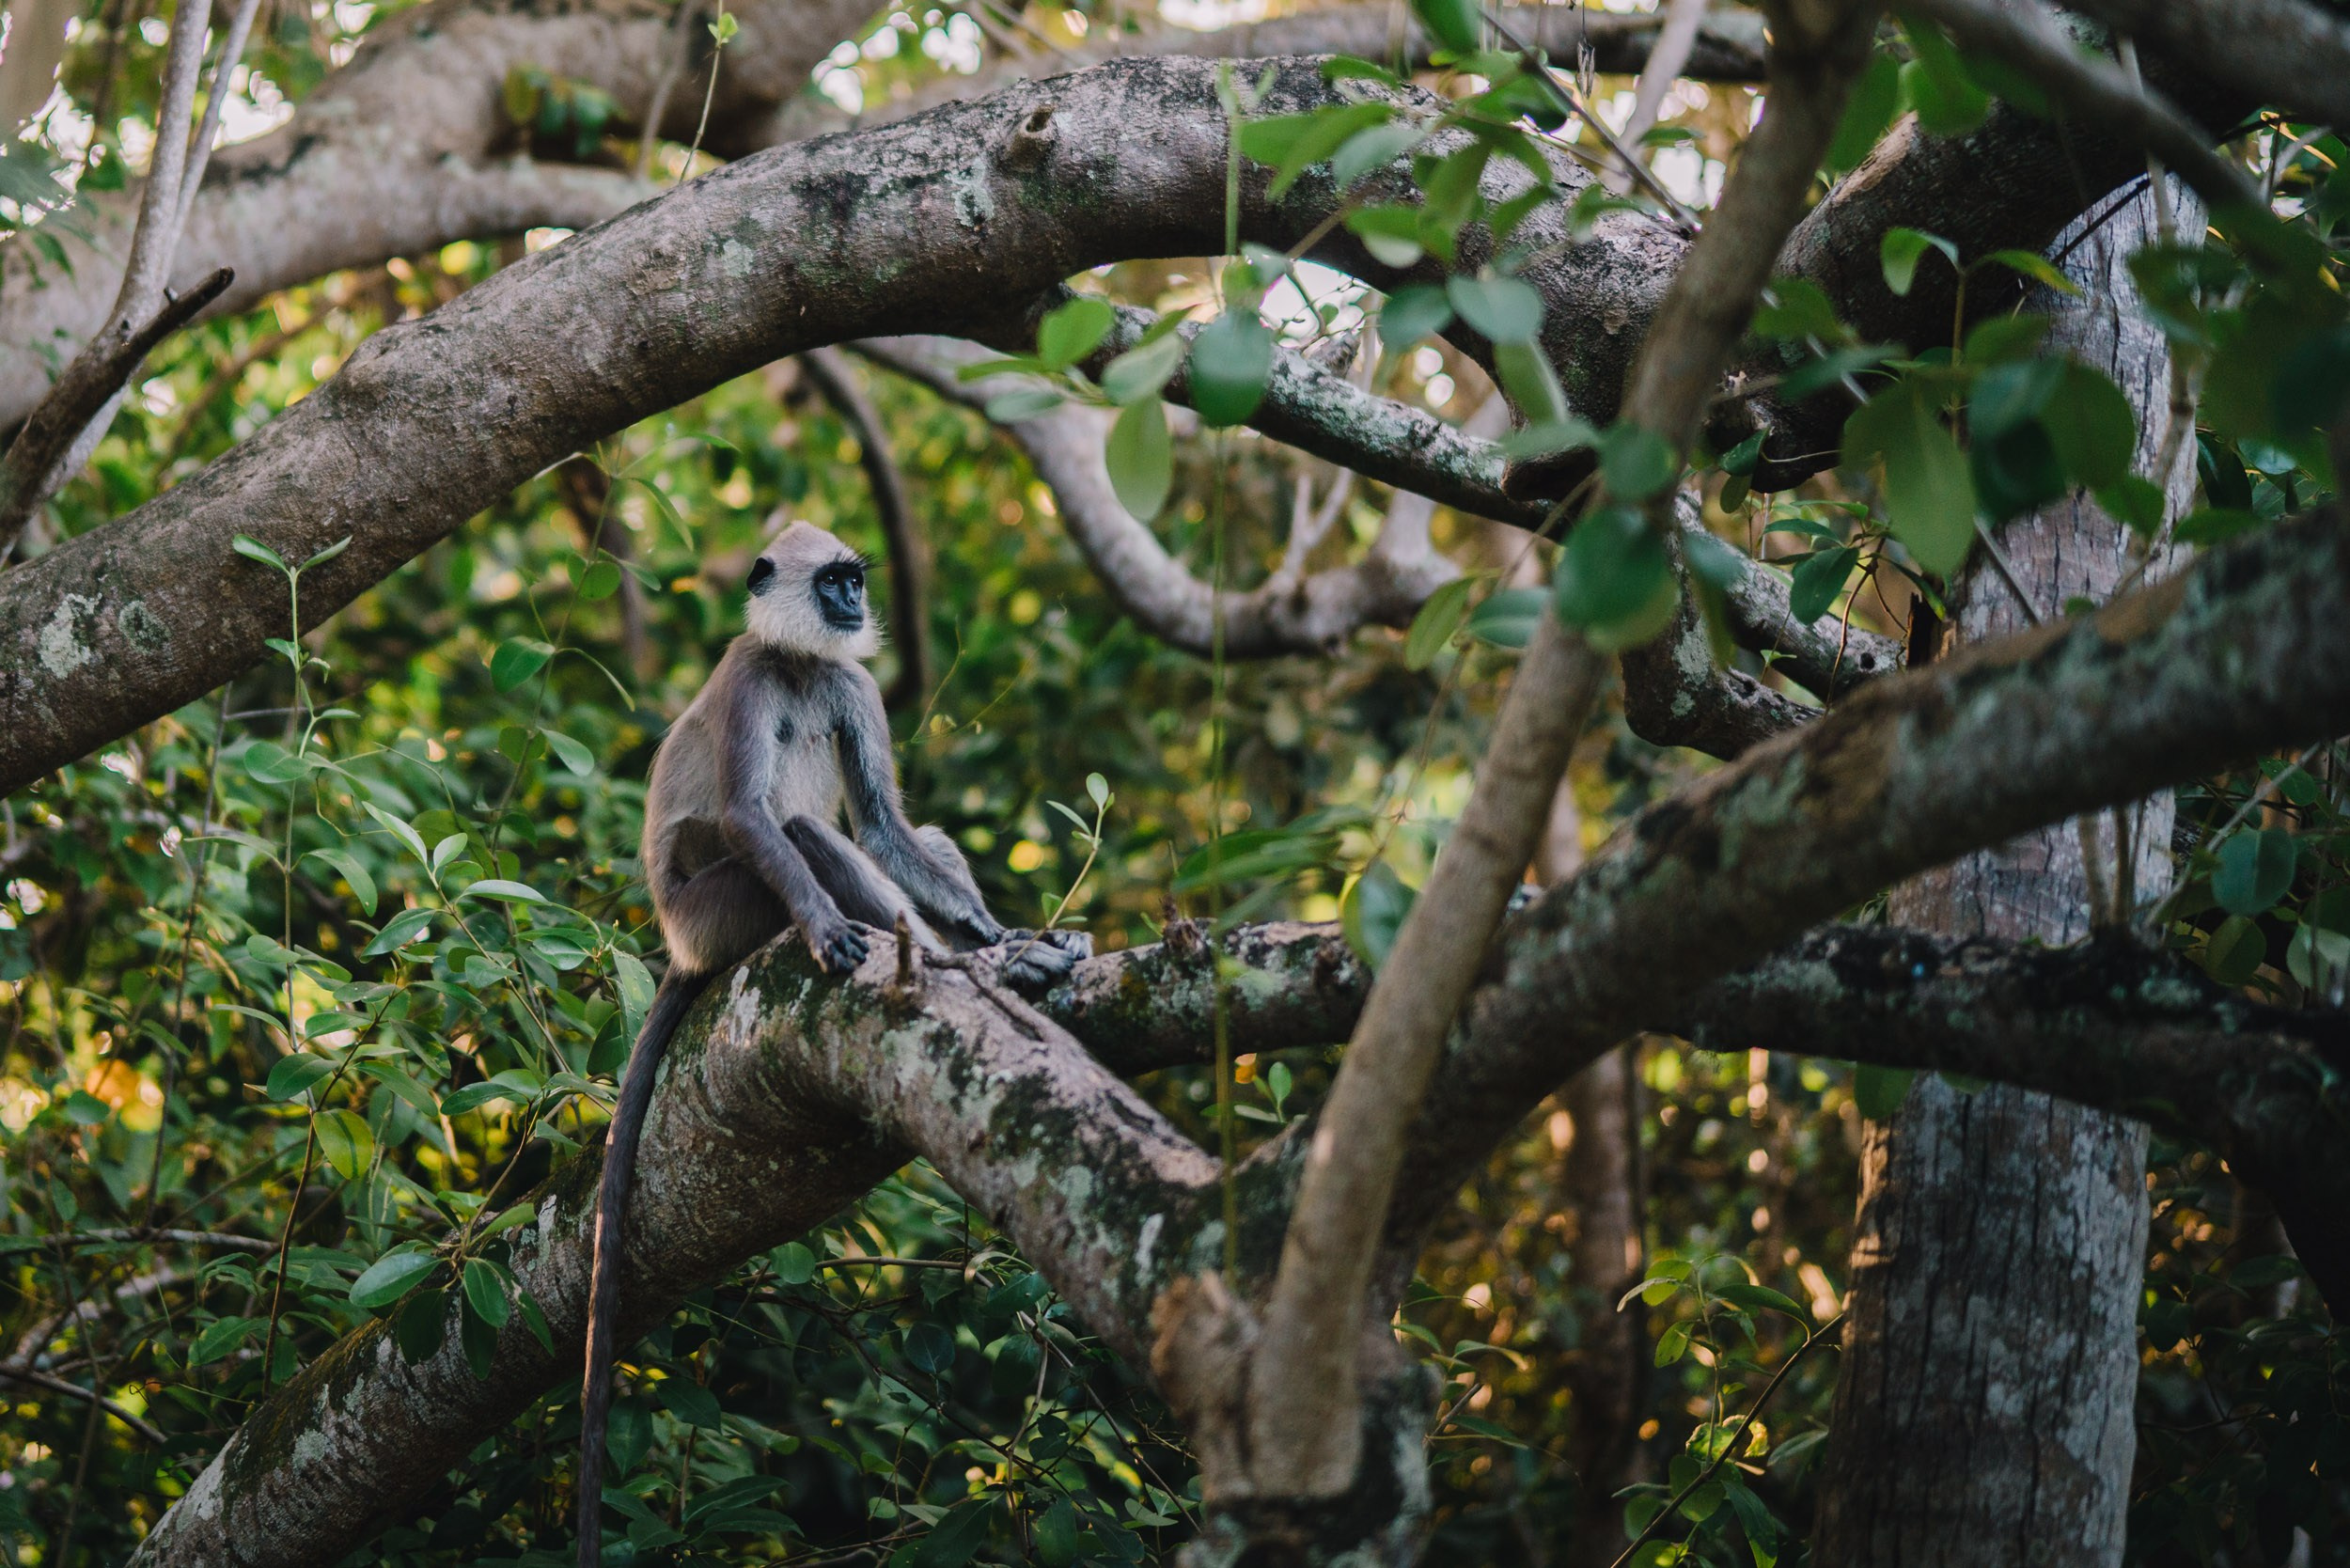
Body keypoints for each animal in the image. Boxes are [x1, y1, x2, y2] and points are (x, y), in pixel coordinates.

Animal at [577, 521, 1089, 1566]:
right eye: (833, 583)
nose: (853, 605)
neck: (804, 665)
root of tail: (681, 947)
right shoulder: (748, 679)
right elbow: (753, 814)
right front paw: (829, 928)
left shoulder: (852, 684)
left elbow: (889, 824)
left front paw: (1004, 935)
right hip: (721, 908)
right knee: (800, 829)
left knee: (890, 836)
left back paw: (1000, 953)